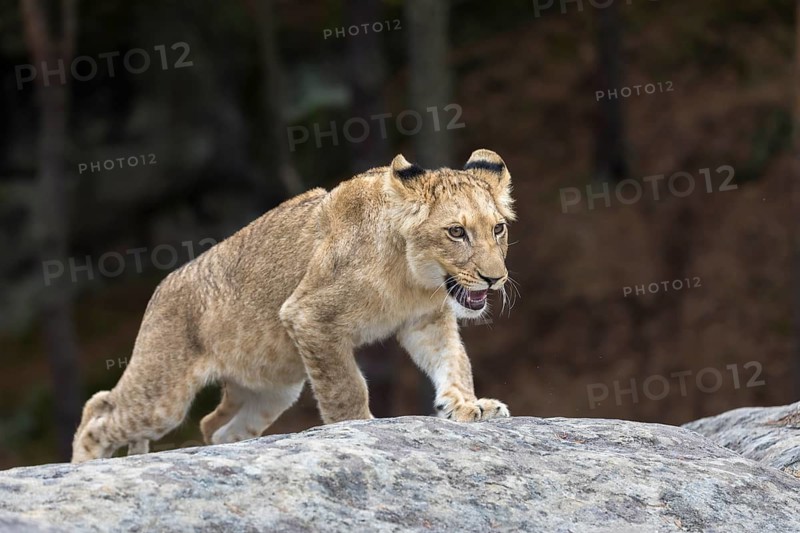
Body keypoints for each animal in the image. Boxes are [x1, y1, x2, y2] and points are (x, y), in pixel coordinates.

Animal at [71, 149, 516, 463]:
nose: (495, 278)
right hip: (163, 393)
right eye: (456, 232)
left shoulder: (426, 320)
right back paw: (85, 467)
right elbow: (346, 387)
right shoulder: (308, 315)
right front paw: (360, 427)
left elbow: (454, 361)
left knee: (214, 427)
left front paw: (468, 405)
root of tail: (162, 287)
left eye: (498, 228)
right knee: (99, 408)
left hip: (273, 390)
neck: (413, 278)